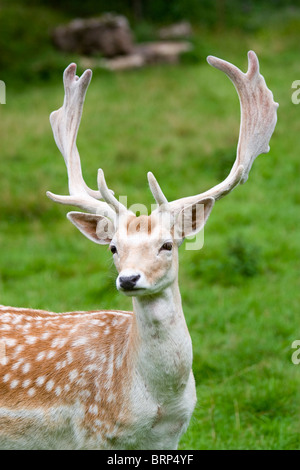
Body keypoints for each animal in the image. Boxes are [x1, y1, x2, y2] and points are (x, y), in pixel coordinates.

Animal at [0, 50, 278, 448]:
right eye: (113, 248)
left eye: (167, 244)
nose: (129, 279)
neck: (157, 404)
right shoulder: (92, 431)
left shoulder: (172, 435)